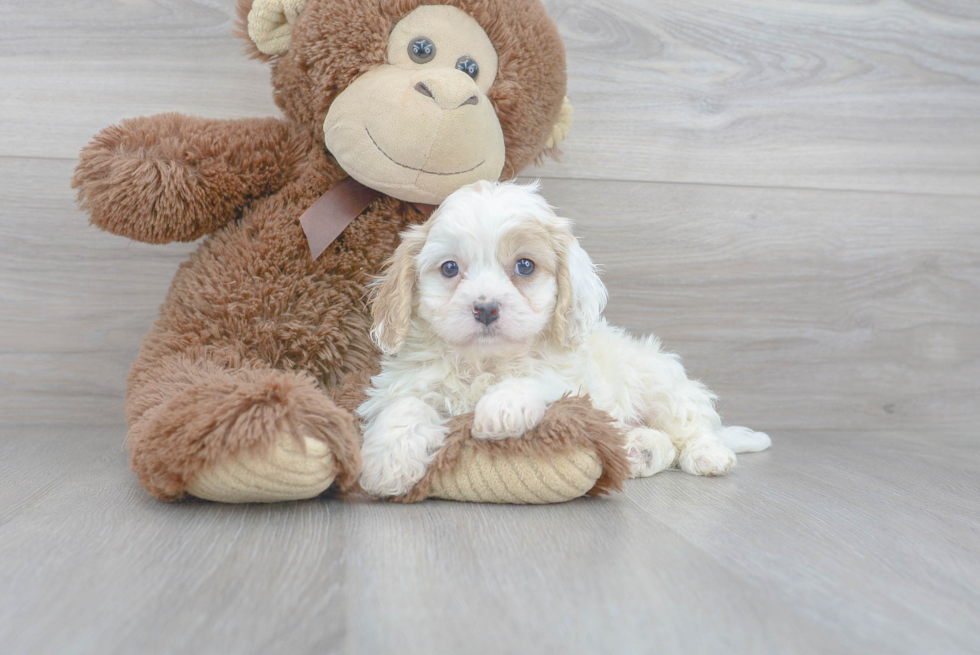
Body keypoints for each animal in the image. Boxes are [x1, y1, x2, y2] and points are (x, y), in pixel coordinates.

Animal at [356, 179, 768, 498]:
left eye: (525, 266)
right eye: (449, 268)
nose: (486, 308)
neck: (486, 361)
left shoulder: (575, 384)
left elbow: (539, 379)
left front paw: (502, 406)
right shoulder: (405, 382)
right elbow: (404, 406)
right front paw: (388, 463)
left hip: (660, 384)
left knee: (692, 426)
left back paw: (707, 455)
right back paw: (638, 450)